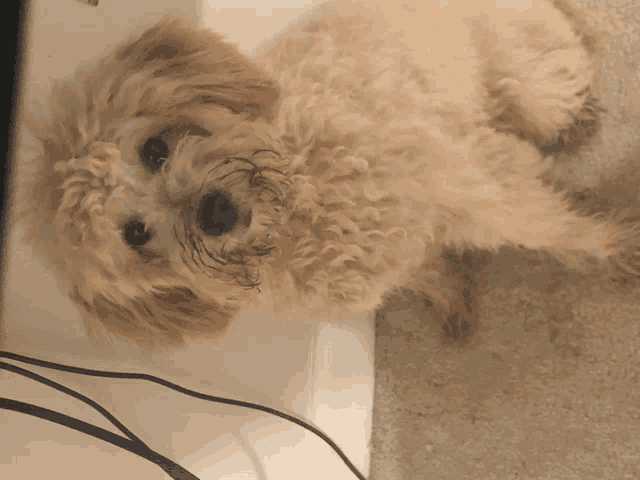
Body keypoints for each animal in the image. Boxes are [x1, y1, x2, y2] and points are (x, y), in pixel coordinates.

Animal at [15, 0, 640, 346]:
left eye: (153, 148)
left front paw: (617, 249)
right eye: (135, 235)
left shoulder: (477, 185)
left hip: (529, 81)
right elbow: (425, 273)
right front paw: (450, 295)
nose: (215, 211)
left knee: (560, 78)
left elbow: (557, 230)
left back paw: (578, 121)